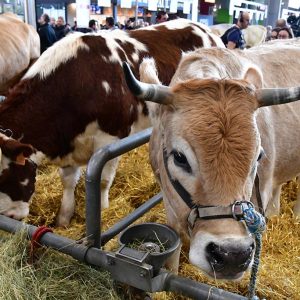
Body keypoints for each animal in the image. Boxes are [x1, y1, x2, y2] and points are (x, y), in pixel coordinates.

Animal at [0, 18, 223, 225]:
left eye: (4, 177)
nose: (8, 217)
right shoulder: (68, 140)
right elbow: (68, 182)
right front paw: (64, 217)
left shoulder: (110, 139)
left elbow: (102, 181)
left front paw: (102, 210)